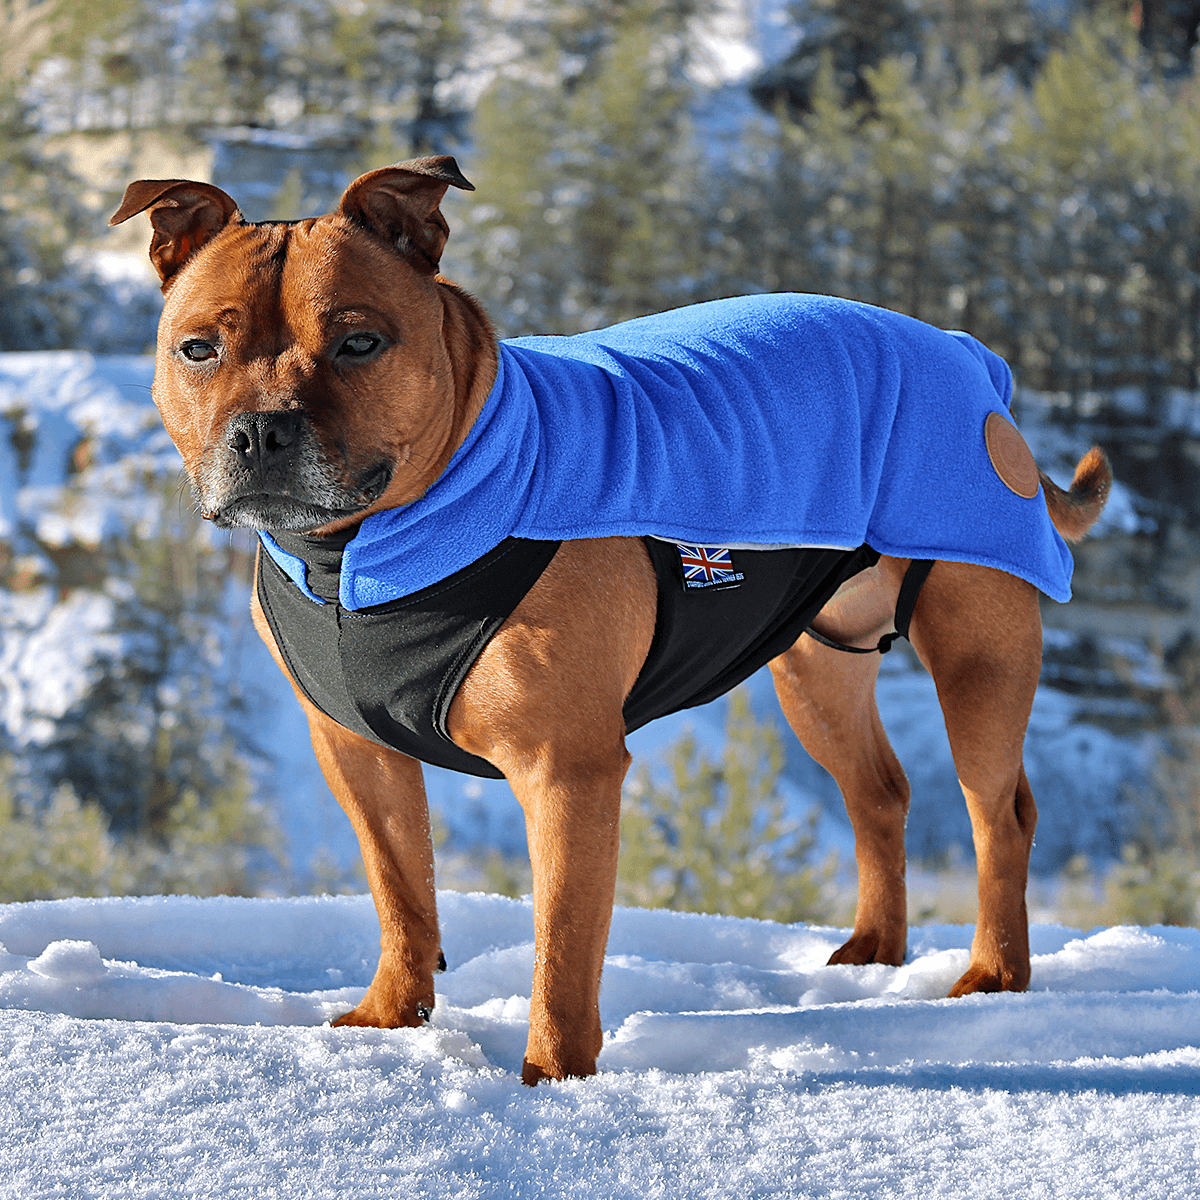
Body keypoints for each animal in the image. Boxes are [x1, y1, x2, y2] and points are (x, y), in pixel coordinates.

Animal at [108, 154, 1108, 1084]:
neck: (356, 556)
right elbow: (402, 890)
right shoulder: (356, 751)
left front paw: (553, 1080)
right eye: (197, 350)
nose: (262, 431)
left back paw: (993, 974)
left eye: (359, 342)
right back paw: (874, 956)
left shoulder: (567, 772)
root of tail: (965, 354)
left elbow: (562, 943)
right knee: (880, 793)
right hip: (816, 669)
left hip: (979, 656)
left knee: (999, 812)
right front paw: (391, 1021)